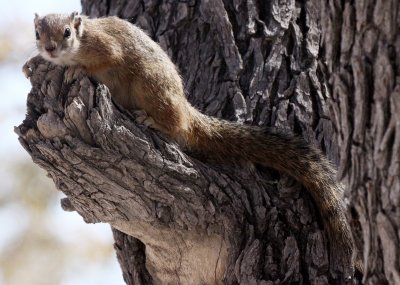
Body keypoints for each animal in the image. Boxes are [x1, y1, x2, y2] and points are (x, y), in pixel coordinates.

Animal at [29, 12, 358, 276]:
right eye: (37, 33)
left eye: (67, 33)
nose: (49, 49)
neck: (78, 43)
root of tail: (186, 108)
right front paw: (32, 63)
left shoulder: (104, 45)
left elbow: (108, 59)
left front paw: (78, 70)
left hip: (151, 85)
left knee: (176, 124)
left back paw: (154, 120)